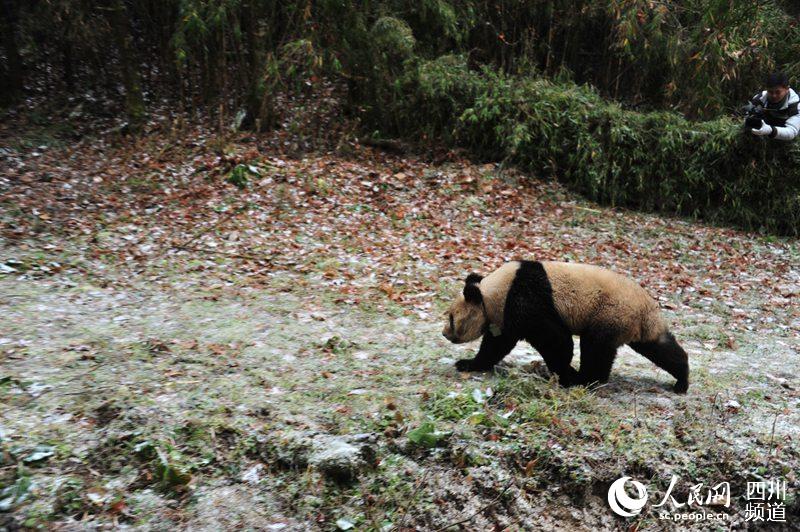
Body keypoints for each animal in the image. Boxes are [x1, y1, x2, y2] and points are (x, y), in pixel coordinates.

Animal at [441, 260, 689, 393]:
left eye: (451, 318)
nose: (444, 333)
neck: (492, 291)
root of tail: (647, 308)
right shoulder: (504, 315)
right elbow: (496, 345)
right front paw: (469, 363)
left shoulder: (525, 299)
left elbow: (555, 339)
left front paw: (564, 375)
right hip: (635, 324)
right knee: (659, 347)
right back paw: (682, 380)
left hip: (610, 312)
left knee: (596, 347)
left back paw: (586, 379)